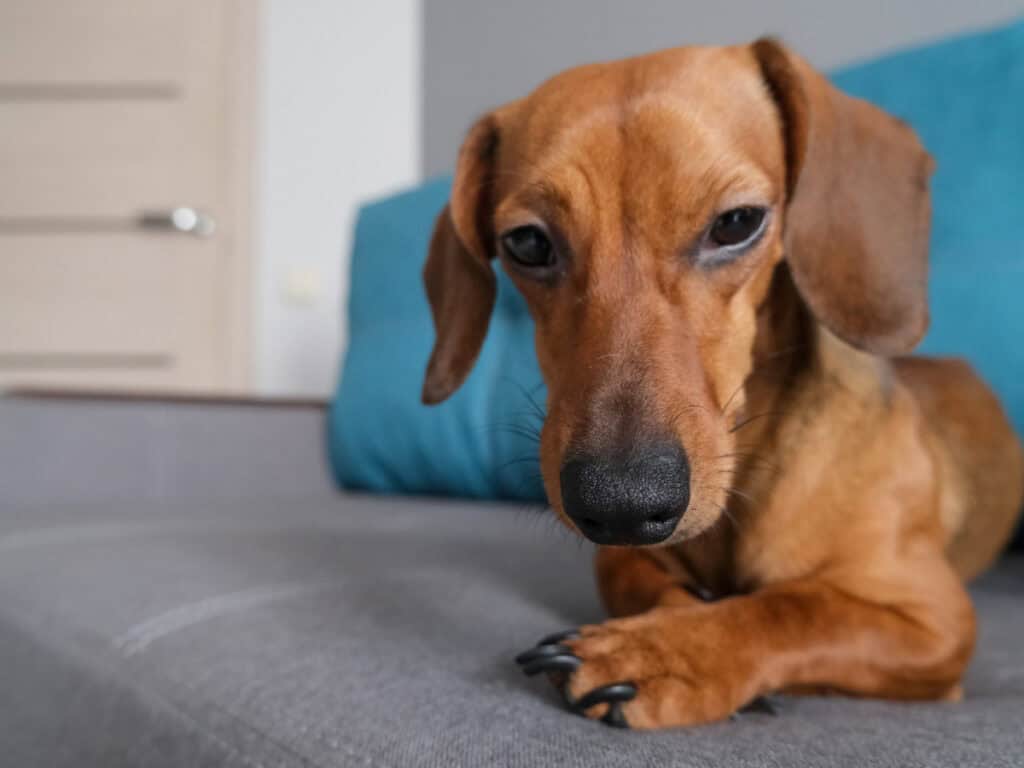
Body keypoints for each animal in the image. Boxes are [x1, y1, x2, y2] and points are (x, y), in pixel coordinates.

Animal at [417, 39, 1024, 729]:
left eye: (737, 223)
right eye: (526, 242)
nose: (621, 504)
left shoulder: (934, 620)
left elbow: (794, 609)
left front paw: (663, 654)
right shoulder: (621, 555)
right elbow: (638, 582)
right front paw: (667, 628)